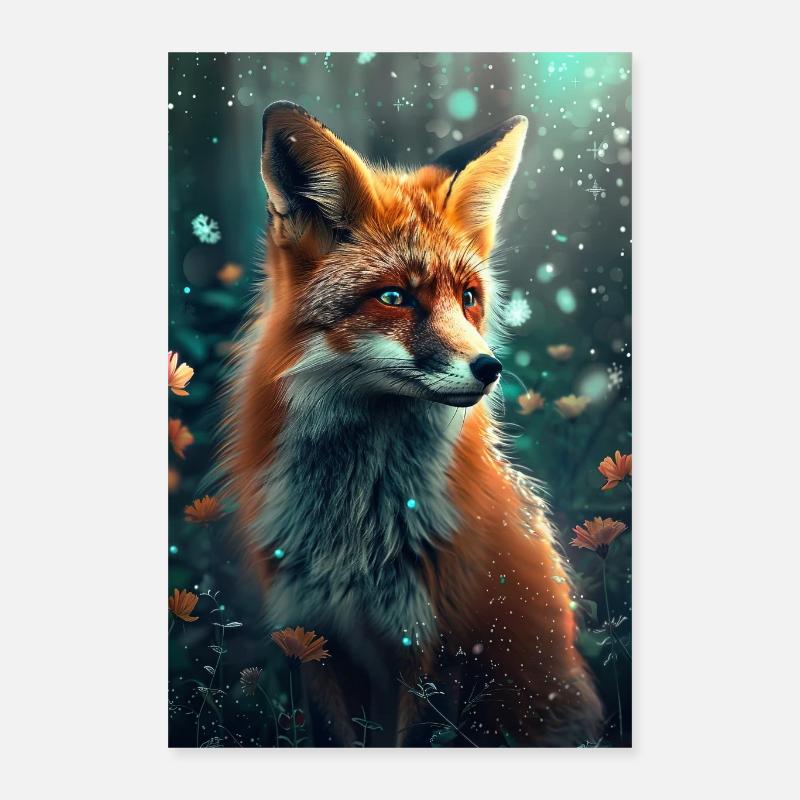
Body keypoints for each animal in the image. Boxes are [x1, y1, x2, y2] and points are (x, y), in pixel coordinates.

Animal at [217, 101, 602, 746]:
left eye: (468, 297)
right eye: (394, 297)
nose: (490, 368)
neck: (354, 531)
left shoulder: (434, 649)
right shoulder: (315, 639)